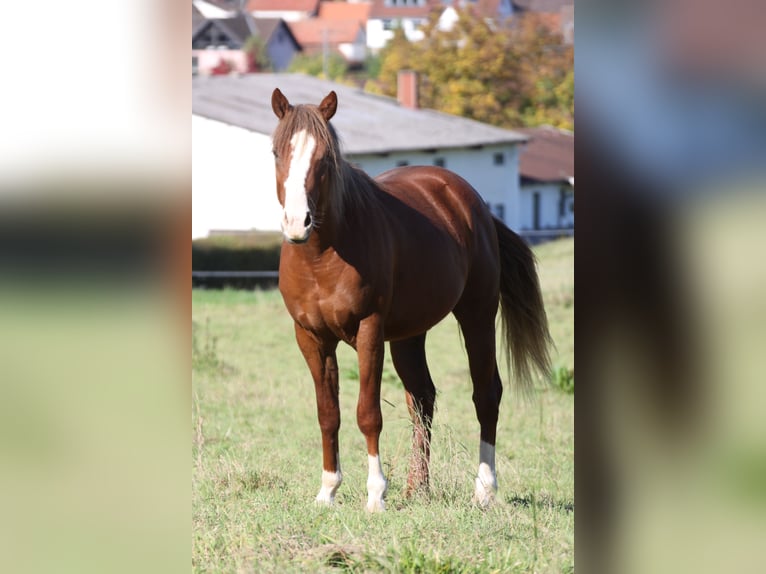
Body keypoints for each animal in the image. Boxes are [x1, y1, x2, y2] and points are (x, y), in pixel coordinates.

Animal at [270, 88, 552, 510]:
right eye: (276, 152)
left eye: (325, 158)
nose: (296, 222)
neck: (322, 257)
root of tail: (473, 204)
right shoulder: (310, 337)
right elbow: (328, 413)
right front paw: (328, 490)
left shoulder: (369, 331)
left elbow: (367, 413)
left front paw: (375, 495)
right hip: (408, 335)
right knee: (422, 397)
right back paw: (417, 485)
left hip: (477, 316)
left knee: (486, 394)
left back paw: (484, 489)